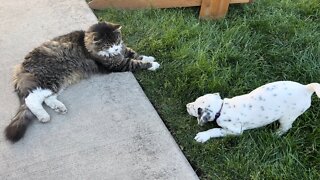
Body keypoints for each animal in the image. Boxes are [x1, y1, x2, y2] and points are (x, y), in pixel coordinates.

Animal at [5, 21, 160, 142]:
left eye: (116, 41)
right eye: (108, 45)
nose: (115, 48)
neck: (86, 43)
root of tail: (21, 69)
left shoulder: (123, 51)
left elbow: (134, 53)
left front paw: (148, 57)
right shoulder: (118, 64)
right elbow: (135, 63)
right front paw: (153, 65)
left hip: (59, 81)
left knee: (47, 99)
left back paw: (59, 107)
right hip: (47, 80)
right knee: (31, 100)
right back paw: (43, 116)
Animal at [186, 81, 320, 143]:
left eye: (195, 108)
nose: (187, 105)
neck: (222, 108)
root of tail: (306, 88)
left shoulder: (235, 131)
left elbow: (216, 130)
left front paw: (203, 136)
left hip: (288, 116)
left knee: (286, 127)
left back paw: (275, 134)